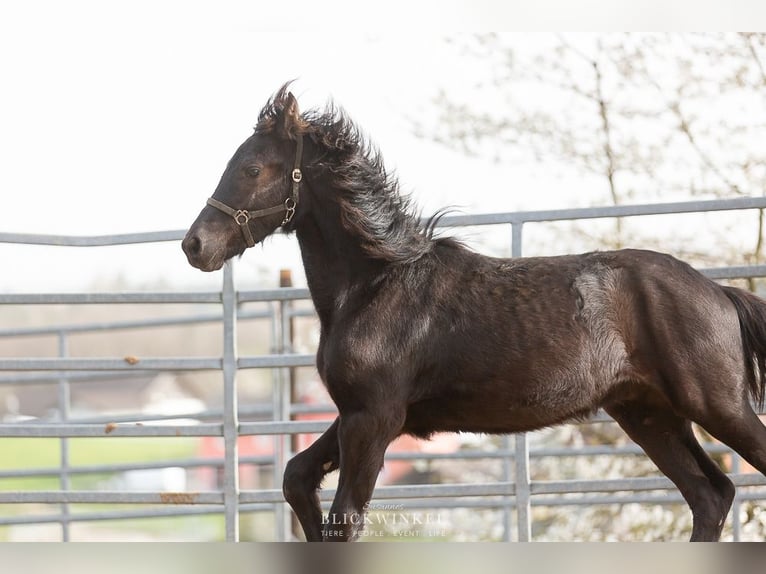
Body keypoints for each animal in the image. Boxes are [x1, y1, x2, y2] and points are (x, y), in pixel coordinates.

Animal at [183, 84, 766, 542]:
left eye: (252, 168)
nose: (195, 246)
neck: (374, 287)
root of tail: (719, 292)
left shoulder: (374, 418)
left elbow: (344, 519)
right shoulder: (358, 414)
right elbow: (296, 478)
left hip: (716, 406)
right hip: (649, 414)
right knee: (710, 495)